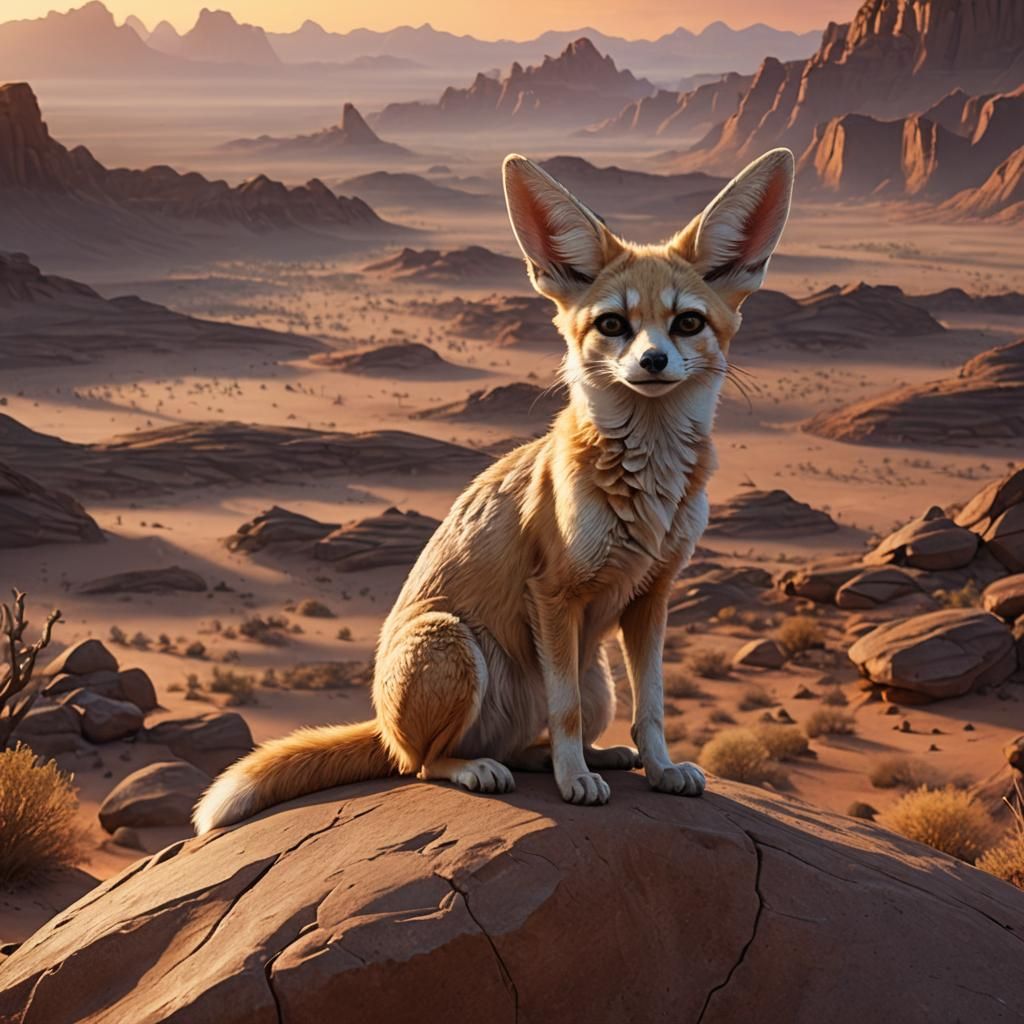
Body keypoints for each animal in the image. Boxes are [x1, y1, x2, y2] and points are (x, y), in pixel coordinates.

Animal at [192, 146, 795, 834]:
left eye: (688, 322)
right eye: (613, 324)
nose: (652, 362)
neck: (648, 486)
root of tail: (385, 730)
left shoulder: (653, 595)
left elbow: (654, 707)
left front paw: (661, 769)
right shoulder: (554, 594)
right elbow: (565, 712)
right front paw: (575, 783)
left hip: (597, 678)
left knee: (530, 741)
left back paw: (594, 756)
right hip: (454, 642)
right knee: (427, 763)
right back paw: (484, 769)